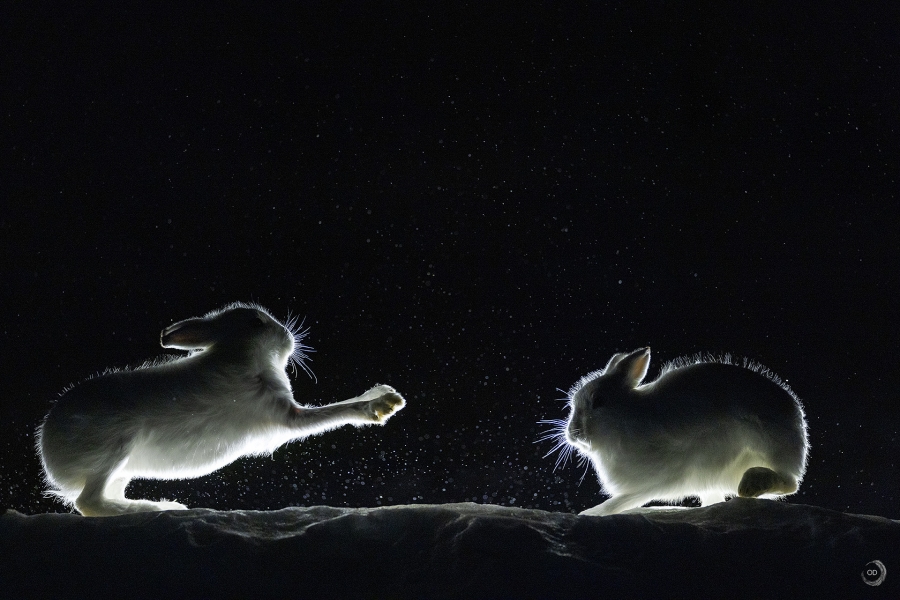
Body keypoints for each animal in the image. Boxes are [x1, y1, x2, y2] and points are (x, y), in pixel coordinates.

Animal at [37, 302, 406, 517]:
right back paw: (160, 507)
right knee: (88, 503)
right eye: (257, 322)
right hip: (114, 446)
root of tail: (49, 455)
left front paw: (383, 393)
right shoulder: (286, 414)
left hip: (123, 467)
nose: (287, 335)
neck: (240, 354)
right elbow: (335, 412)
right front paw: (381, 404)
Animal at [546, 347, 808, 516]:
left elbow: (626, 499)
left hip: (764, 445)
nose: (572, 433)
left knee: (790, 483)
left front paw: (592, 513)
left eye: (598, 401)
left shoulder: (662, 477)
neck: (625, 417)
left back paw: (751, 485)